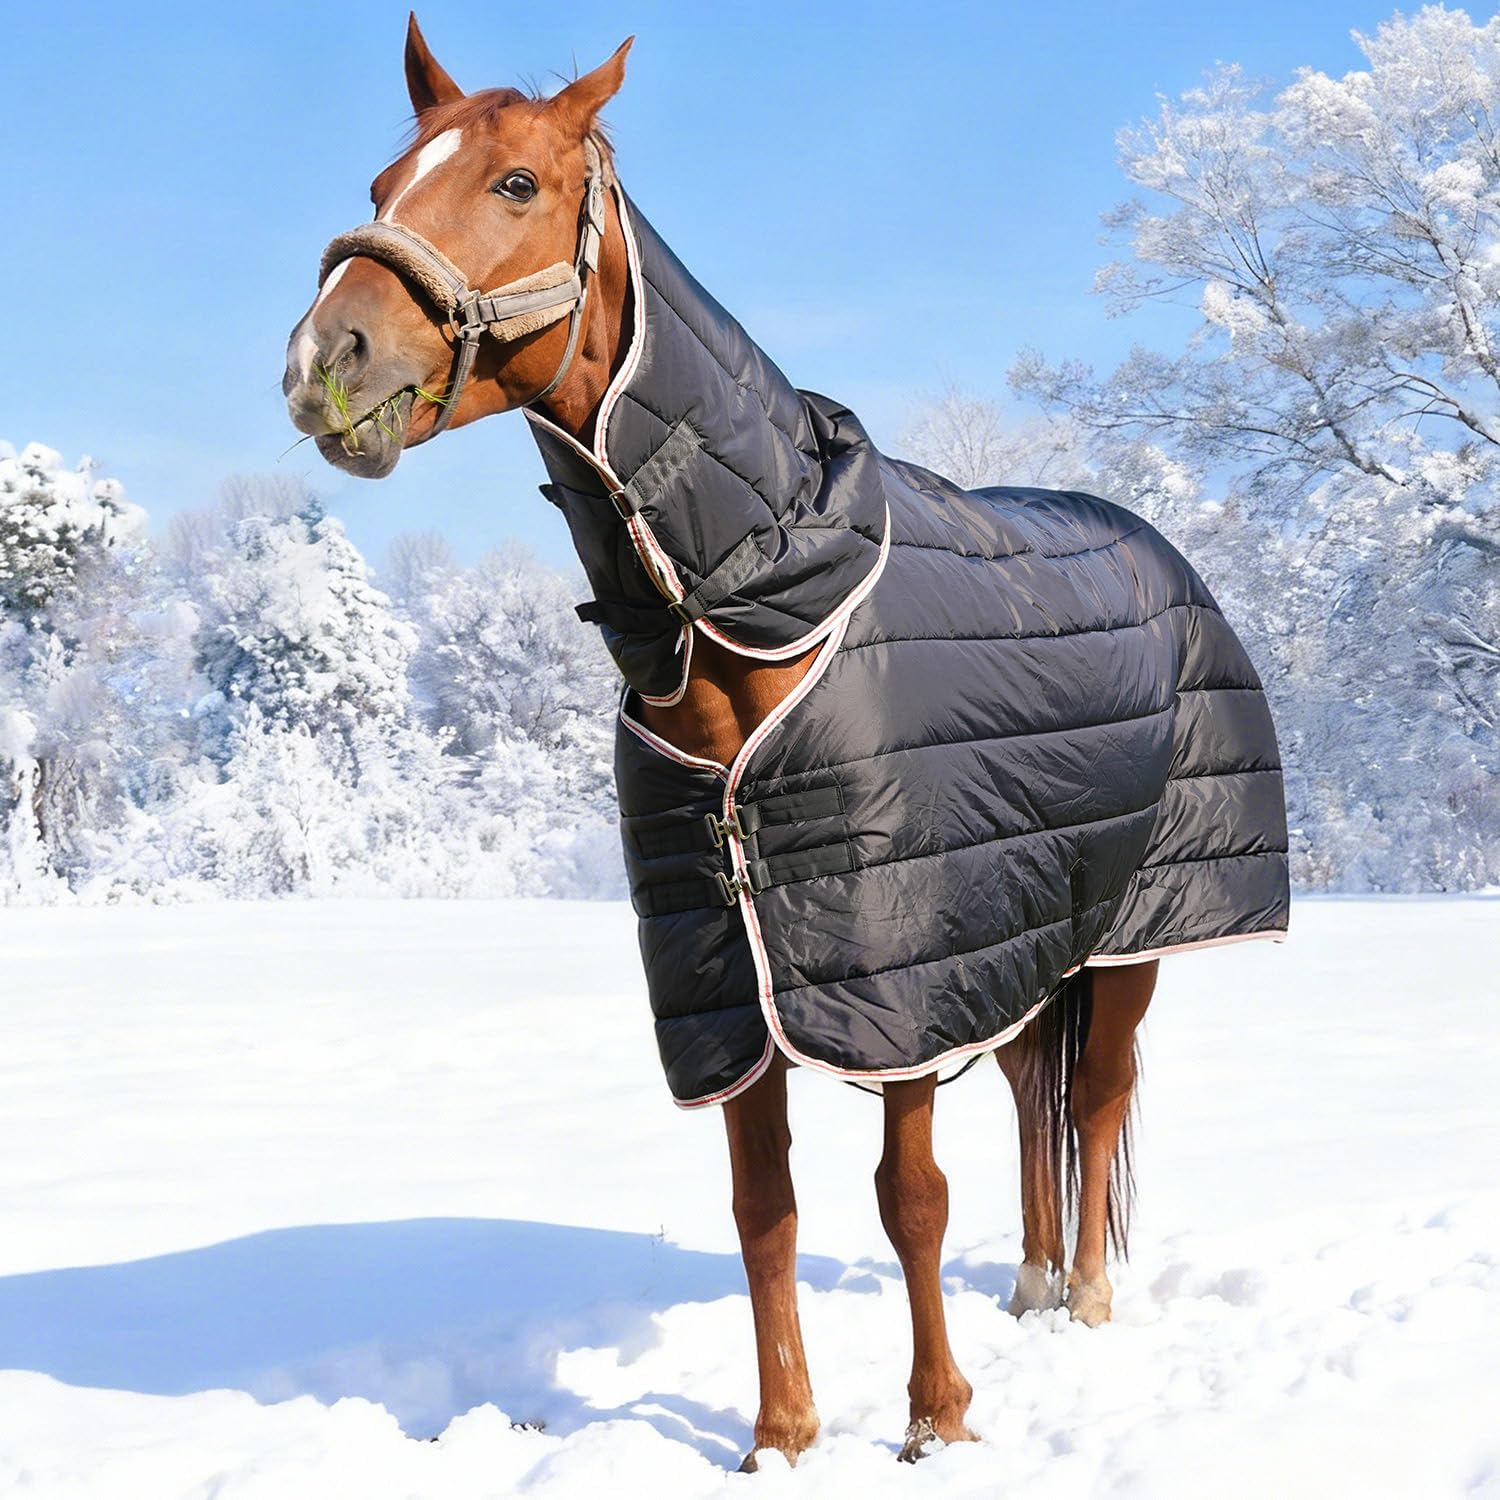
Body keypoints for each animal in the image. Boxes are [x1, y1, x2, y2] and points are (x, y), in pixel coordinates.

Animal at [283, 18, 1289, 1467]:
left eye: (517, 182)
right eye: (379, 183)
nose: (326, 362)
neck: (760, 603)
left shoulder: (894, 980)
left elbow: (909, 1196)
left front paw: (937, 1420)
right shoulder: (735, 975)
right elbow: (767, 1210)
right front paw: (781, 1437)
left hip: (1136, 932)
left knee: (1093, 1099)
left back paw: (1088, 1302)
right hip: (1031, 938)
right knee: (1032, 1095)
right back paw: (1035, 1286)